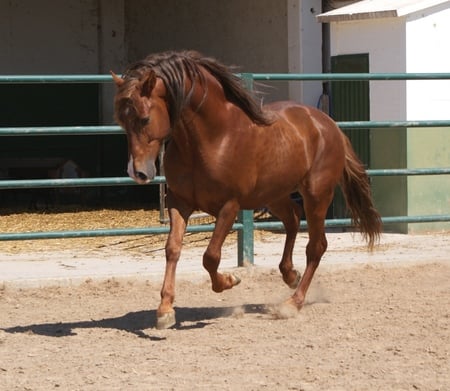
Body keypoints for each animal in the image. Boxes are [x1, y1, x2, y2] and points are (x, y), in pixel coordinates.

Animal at [111, 50, 380, 330]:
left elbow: (210, 256)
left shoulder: (229, 206)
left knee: (316, 247)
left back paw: (292, 303)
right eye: (122, 121)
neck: (213, 137)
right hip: (274, 195)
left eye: (144, 119)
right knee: (294, 218)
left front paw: (230, 281)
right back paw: (290, 274)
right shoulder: (180, 202)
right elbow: (172, 249)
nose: (137, 173)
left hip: (316, 196)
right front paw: (165, 310)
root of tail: (329, 125)